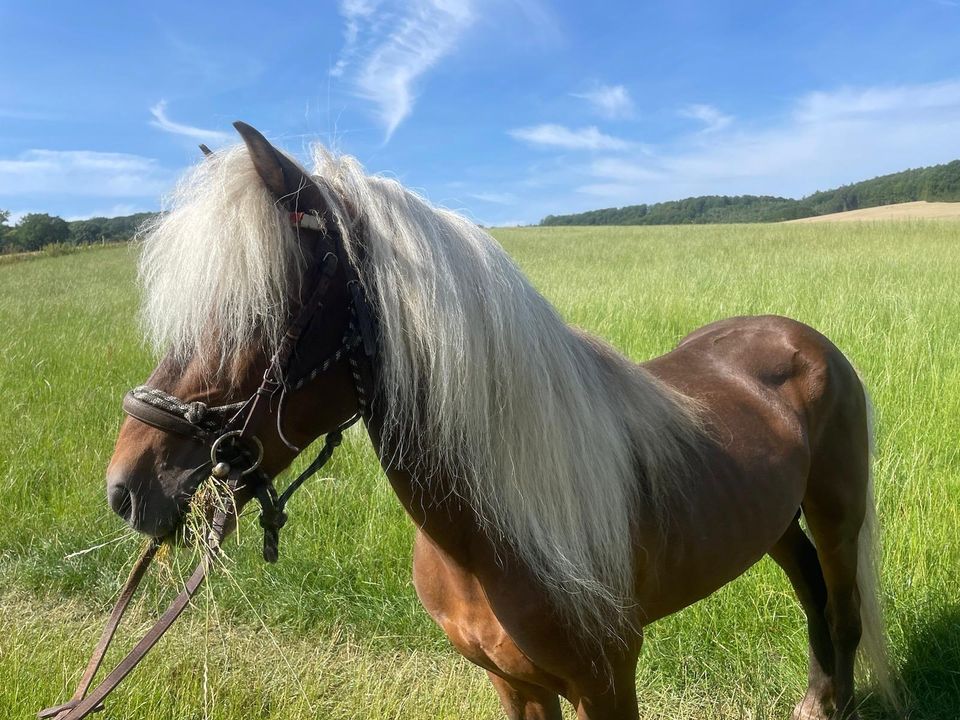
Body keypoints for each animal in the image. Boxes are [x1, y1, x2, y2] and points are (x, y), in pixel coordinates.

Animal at [109, 124, 896, 720]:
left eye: (263, 312)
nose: (128, 487)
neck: (492, 532)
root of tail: (798, 335)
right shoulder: (513, 684)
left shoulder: (605, 687)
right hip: (772, 520)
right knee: (810, 590)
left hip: (837, 513)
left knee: (844, 609)